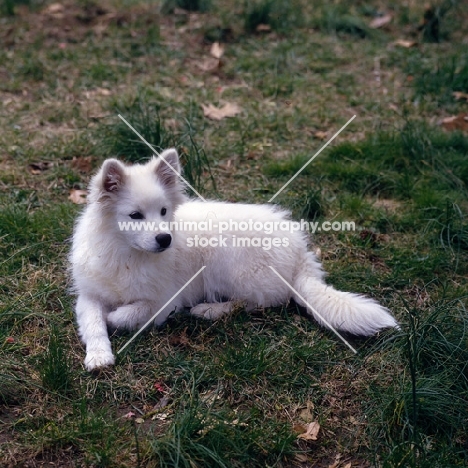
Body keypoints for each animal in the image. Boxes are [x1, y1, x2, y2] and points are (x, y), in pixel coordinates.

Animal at [71, 149, 396, 370]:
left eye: (163, 211)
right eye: (135, 215)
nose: (165, 239)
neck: (128, 254)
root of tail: (300, 252)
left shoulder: (164, 301)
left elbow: (129, 313)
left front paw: (115, 317)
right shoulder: (89, 295)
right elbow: (93, 322)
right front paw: (99, 356)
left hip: (227, 262)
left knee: (257, 302)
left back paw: (209, 310)